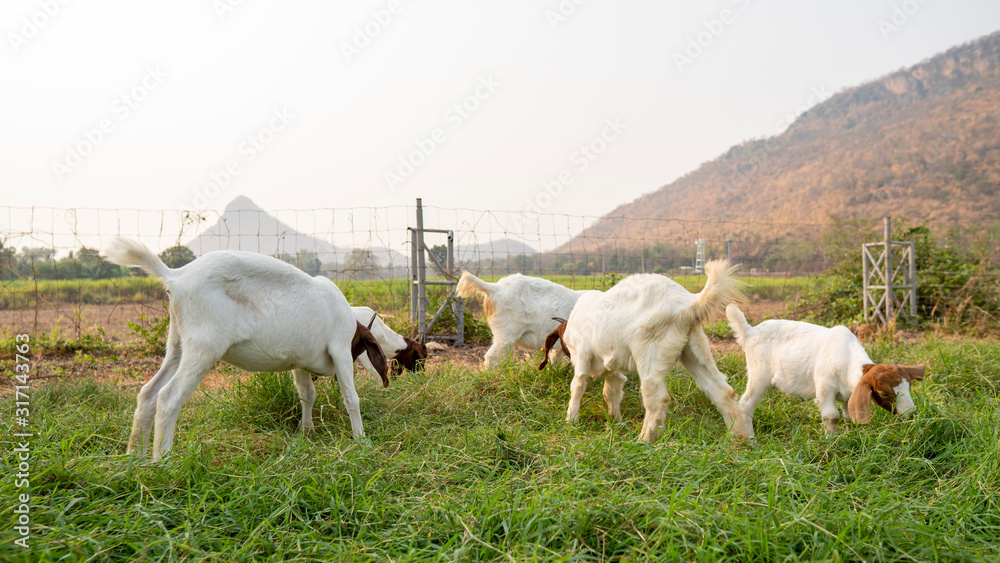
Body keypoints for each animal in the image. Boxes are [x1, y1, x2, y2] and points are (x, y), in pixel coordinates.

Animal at [103, 238, 389, 461]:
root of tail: (177, 275)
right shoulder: (340, 348)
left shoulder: (299, 362)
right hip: (204, 346)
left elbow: (307, 394)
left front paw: (306, 430)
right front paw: (361, 440)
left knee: (148, 394)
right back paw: (163, 461)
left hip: (177, 345)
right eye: (360, 348)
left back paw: (135, 459)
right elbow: (351, 397)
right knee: (168, 398)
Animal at [557, 261, 754, 444]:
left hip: (649, 350)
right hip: (695, 349)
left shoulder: (582, 353)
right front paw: (615, 422)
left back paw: (644, 440)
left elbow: (578, 385)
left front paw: (571, 422)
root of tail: (690, 302)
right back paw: (740, 439)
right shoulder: (612, 367)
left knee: (658, 398)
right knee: (722, 391)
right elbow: (611, 391)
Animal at [726, 304, 925, 435]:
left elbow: (848, 415)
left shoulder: (848, 394)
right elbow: (832, 416)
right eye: (884, 393)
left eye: (909, 386)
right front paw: (832, 440)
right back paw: (749, 439)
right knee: (746, 405)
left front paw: (851, 436)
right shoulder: (825, 388)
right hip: (758, 375)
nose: (910, 413)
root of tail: (750, 332)